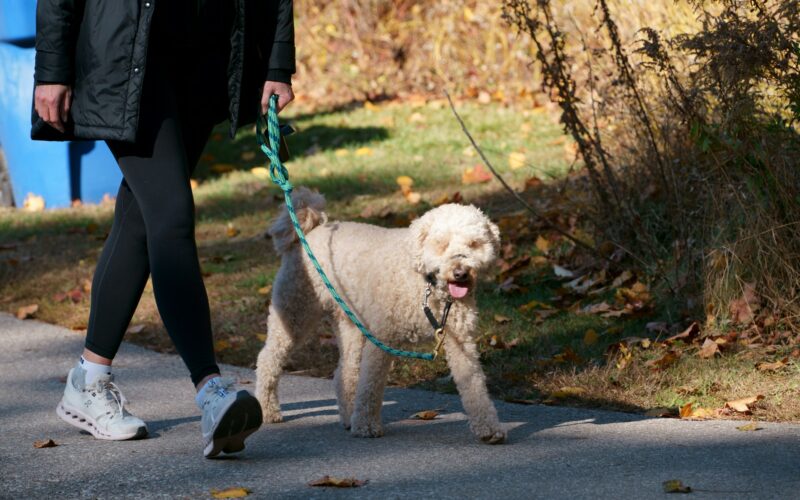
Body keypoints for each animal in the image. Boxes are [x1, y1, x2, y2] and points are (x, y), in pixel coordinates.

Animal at [256, 188, 506, 442]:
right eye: (441, 244)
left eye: (474, 244)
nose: (460, 272)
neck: (423, 282)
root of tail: (310, 232)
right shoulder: (382, 337)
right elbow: (371, 384)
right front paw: (366, 426)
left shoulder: (459, 340)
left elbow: (474, 384)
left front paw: (488, 428)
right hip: (294, 311)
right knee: (267, 359)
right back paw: (268, 409)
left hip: (351, 325)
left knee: (345, 372)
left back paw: (348, 416)